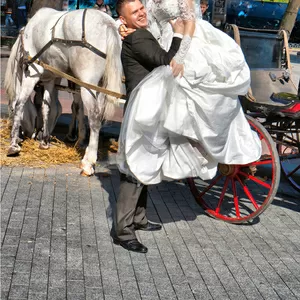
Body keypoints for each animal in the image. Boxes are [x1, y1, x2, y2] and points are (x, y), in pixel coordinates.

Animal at [3, 7, 123, 176]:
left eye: (11, 111)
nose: (25, 135)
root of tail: (107, 24)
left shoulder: (32, 73)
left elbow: (20, 103)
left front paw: (13, 144)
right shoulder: (49, 79)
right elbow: (46, 107)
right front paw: (44, 140)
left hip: (87, 85)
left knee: (94, 117)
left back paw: (88, 161)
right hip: (98, 86)